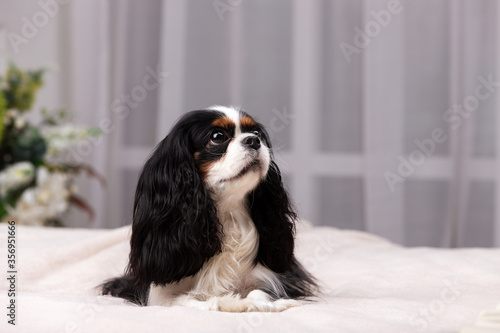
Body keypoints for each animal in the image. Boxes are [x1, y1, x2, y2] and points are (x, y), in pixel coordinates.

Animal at [101, 105, 316, 312]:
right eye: (217, 137)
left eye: (256, 132)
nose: (254, 140)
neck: (228, 215)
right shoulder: (158, 295)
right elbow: (183, 300)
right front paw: (231, 302)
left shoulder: (282, 280)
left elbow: (260, 291)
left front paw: (260, 303)